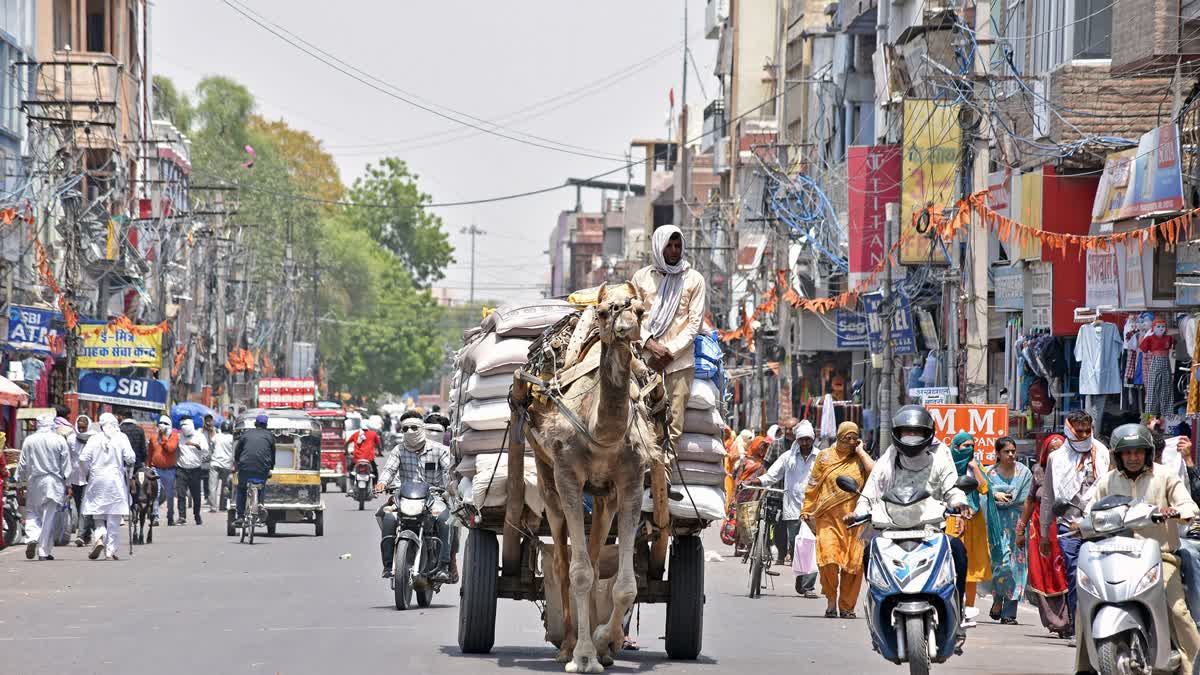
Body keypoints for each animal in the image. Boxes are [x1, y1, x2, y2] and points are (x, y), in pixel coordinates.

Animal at [523, 284, 662, 672]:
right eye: (602, 312)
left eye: (641, 311)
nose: (626, 328)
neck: (601, 432)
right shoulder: (568, 476)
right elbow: (579, 574)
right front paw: (583, 656)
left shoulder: (631, 482)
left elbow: (625, 584)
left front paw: (602, 642)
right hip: (546, 475)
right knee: (562, 560)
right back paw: (566, 645)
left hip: (604, 497)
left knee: (598, 555)